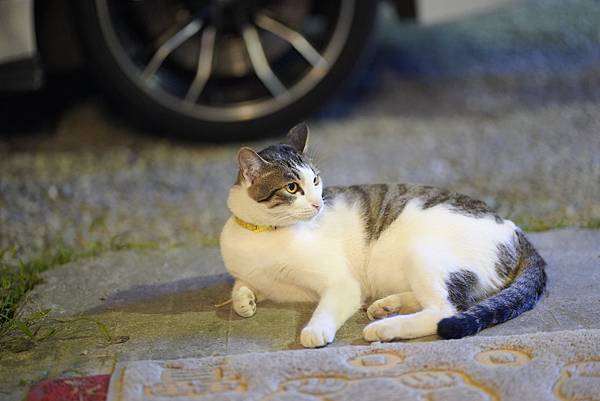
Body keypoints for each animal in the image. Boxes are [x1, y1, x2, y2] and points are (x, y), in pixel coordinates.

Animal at [218, 122, 548, 346]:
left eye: (315, 181)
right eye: (291, 188)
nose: (318, 203)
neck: (264, 234)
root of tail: (512, 226)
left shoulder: (343, 284)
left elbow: (327, 306)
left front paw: (315, 330)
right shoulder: (257, 278)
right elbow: (240, 286)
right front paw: (244, 302)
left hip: (421, 250)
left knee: (445, 310)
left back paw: (385, 328)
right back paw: (388, 305)